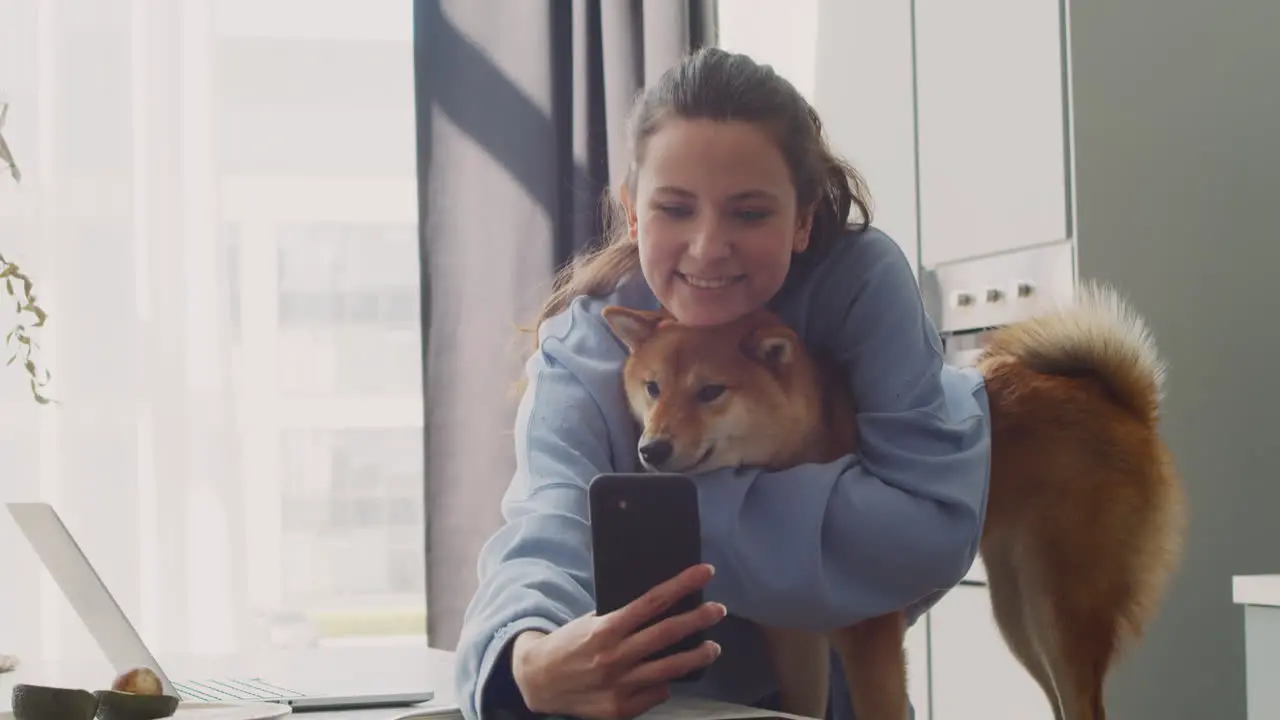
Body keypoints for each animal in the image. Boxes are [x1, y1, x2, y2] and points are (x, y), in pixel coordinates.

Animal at [604, 281, 1182, 717]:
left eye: (710, 392)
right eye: (653, 388)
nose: (651, 449)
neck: (798, 455)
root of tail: (1122, 405)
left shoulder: (871, 640)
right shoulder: (794, 639)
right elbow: (802, 707)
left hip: (1060, 613)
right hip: (1017, 614)